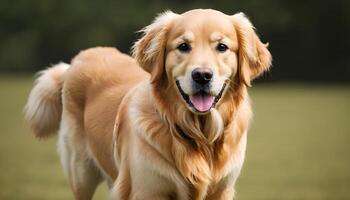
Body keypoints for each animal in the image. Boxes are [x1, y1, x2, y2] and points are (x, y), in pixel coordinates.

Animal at [24, 8, 272, 199]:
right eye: (183, 46)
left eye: (221, 47)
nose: (202, 75)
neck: (197, 135)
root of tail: (76, 61)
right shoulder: (146, 189)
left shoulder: (222, 190)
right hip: (81, 172)